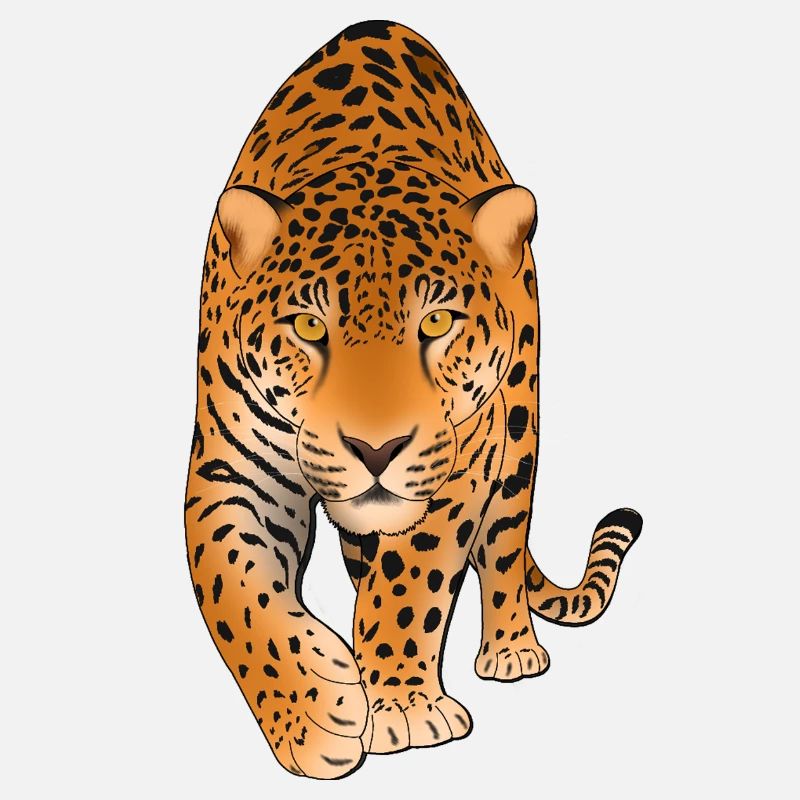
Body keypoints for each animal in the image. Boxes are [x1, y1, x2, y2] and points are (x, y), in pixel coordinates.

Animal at [184, 19, 642, 780]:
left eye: (436, 322)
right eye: (310, 327)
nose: (376, 450)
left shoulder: (458, 464)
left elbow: (410, 581)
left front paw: (399, 705)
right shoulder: (232, 467)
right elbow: (233, 586)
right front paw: (314, 712)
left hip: (518, 430)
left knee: (505, 544)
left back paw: (511, 648)